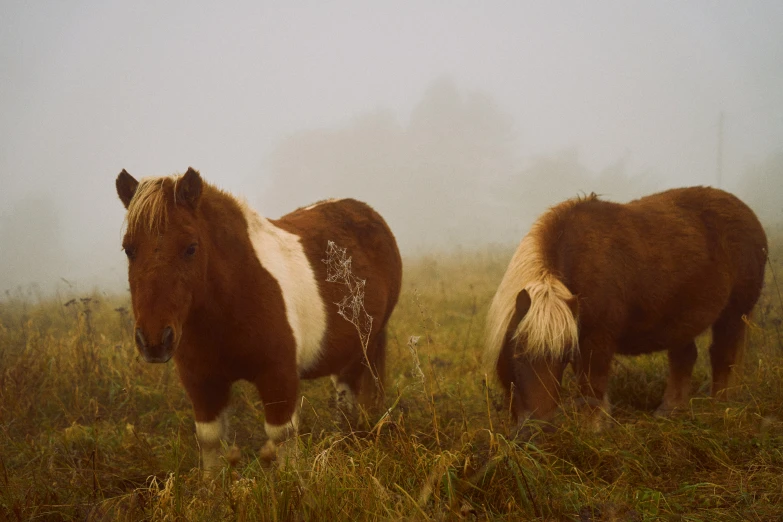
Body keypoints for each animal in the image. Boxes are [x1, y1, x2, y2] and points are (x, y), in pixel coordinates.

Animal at [115, 167, 404, 472]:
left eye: (191, 248)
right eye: (129, 249)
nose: (154, 340)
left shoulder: (279, 377)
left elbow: (281, 438)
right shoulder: (202, 383)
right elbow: (210, 440)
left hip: (366, 346)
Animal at [486, 185, 768, 428]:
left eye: (562, 358)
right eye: (517, 355)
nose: (540, 428)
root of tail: (747, 214)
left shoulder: (597, 341)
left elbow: (592, 386)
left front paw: (592, 430)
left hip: (733, 314)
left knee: (723, 357)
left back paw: (717, 408)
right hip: (681, 321)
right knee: (684, 358)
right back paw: (669, 410)